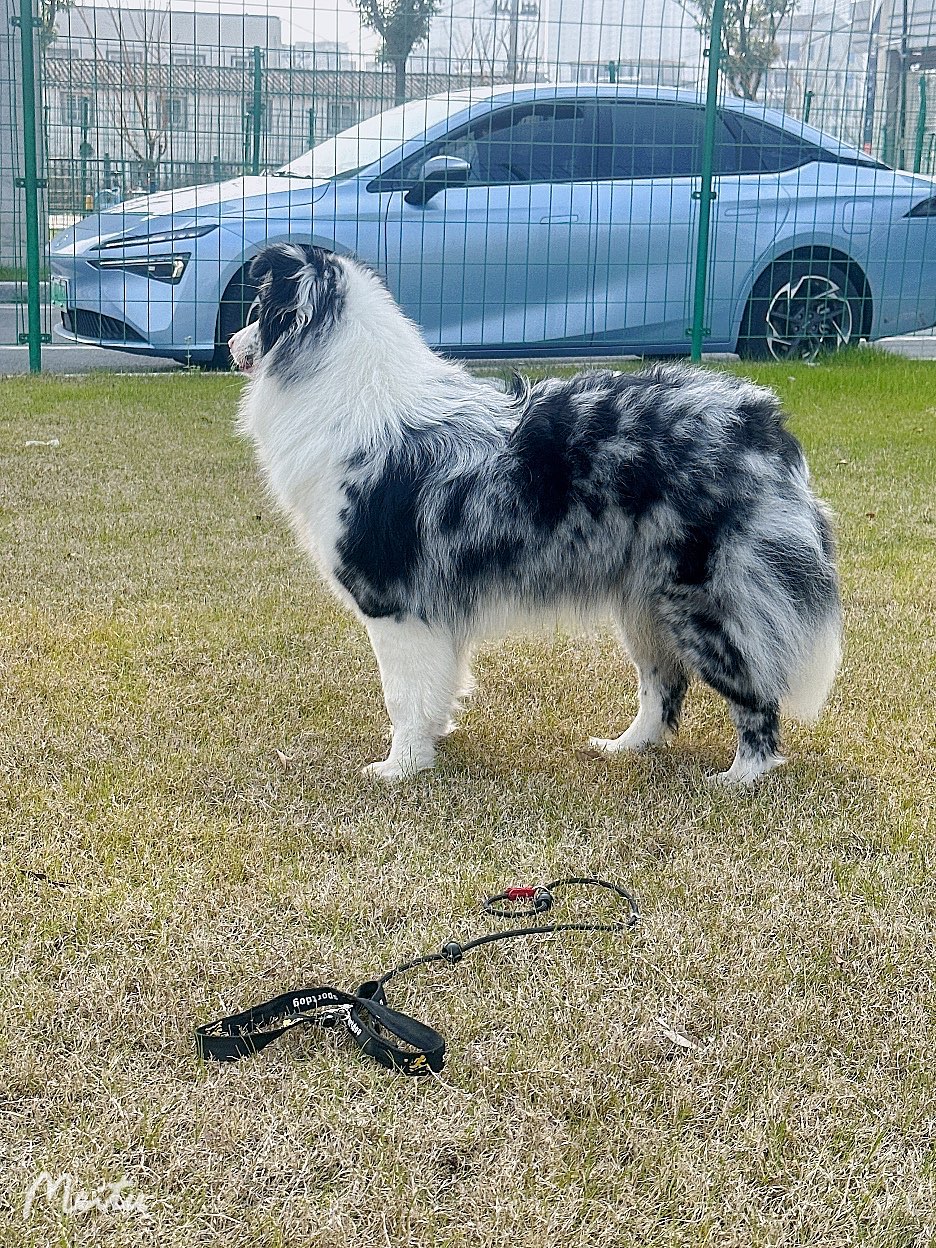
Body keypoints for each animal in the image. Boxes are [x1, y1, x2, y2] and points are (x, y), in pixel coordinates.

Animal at [230, 243, 841, 785]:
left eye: (256, 309)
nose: (232, 342)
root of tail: (761, 423)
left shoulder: (393, 605)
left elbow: (402, 695)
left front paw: (397, 769)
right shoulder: (432, 614)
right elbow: (434, 688)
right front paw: (432, 742)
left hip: (706, 601)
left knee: (753, 689)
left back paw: (742, 775)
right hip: (643, 604)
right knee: (663, 687)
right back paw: (625, 747)